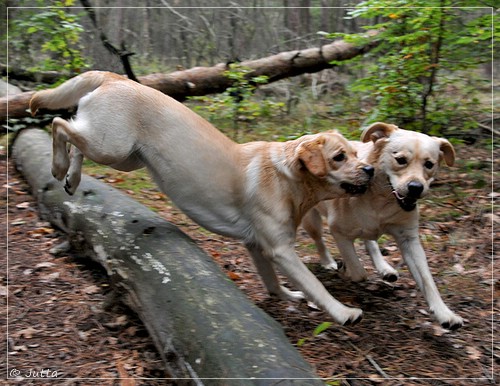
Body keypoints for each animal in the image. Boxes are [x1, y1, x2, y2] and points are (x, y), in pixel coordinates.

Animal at [30, 71, 376, 326]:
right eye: (339, 157)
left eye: (356, 153)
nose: (371, 170)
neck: (288, 177)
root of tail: (117, 77)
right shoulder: (280, 250)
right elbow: (315, 284)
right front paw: (344, 312)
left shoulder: (257, 246)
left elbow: (273, 283)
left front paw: (288, 296)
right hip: (111, 146)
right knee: (59, 124)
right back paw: (57, 166)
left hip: (123, 157)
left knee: (74, 138)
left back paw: (71, 179)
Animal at [302, 123, 462, 328]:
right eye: (400, 160)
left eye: (429, 164)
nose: (416, 187)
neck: (381, 201)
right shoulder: (339, 232)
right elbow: (358, 271)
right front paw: (346, 271)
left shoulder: (409, 240)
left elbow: (427, 280)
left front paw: (444, 313)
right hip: (311, 220)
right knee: (319, 240)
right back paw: (328, 262)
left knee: (370, 242)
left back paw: (384, 268)